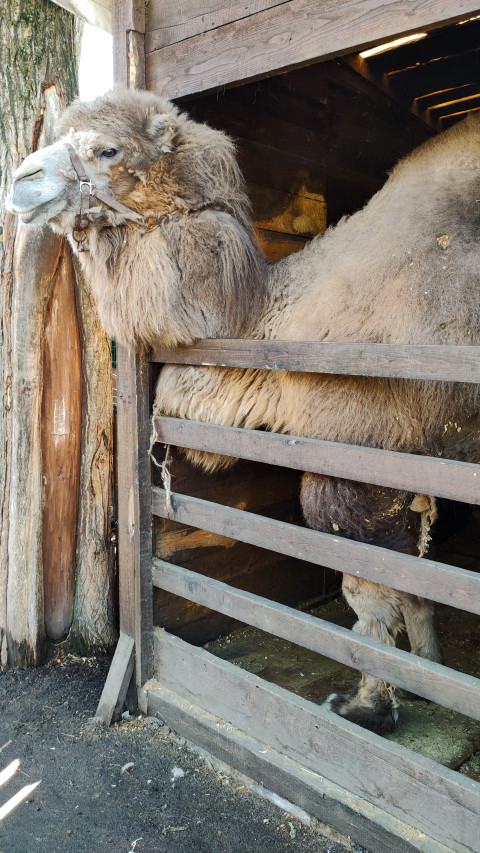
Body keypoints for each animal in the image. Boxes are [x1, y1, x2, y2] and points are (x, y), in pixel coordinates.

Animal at [8, 87, 480, 733]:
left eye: (108, 149)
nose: (21, 180)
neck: (270, 319)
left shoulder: (364, 458)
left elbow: (374, 589)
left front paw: (368, 708)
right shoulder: (424, 459)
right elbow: (422, 582)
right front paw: (426, 678)